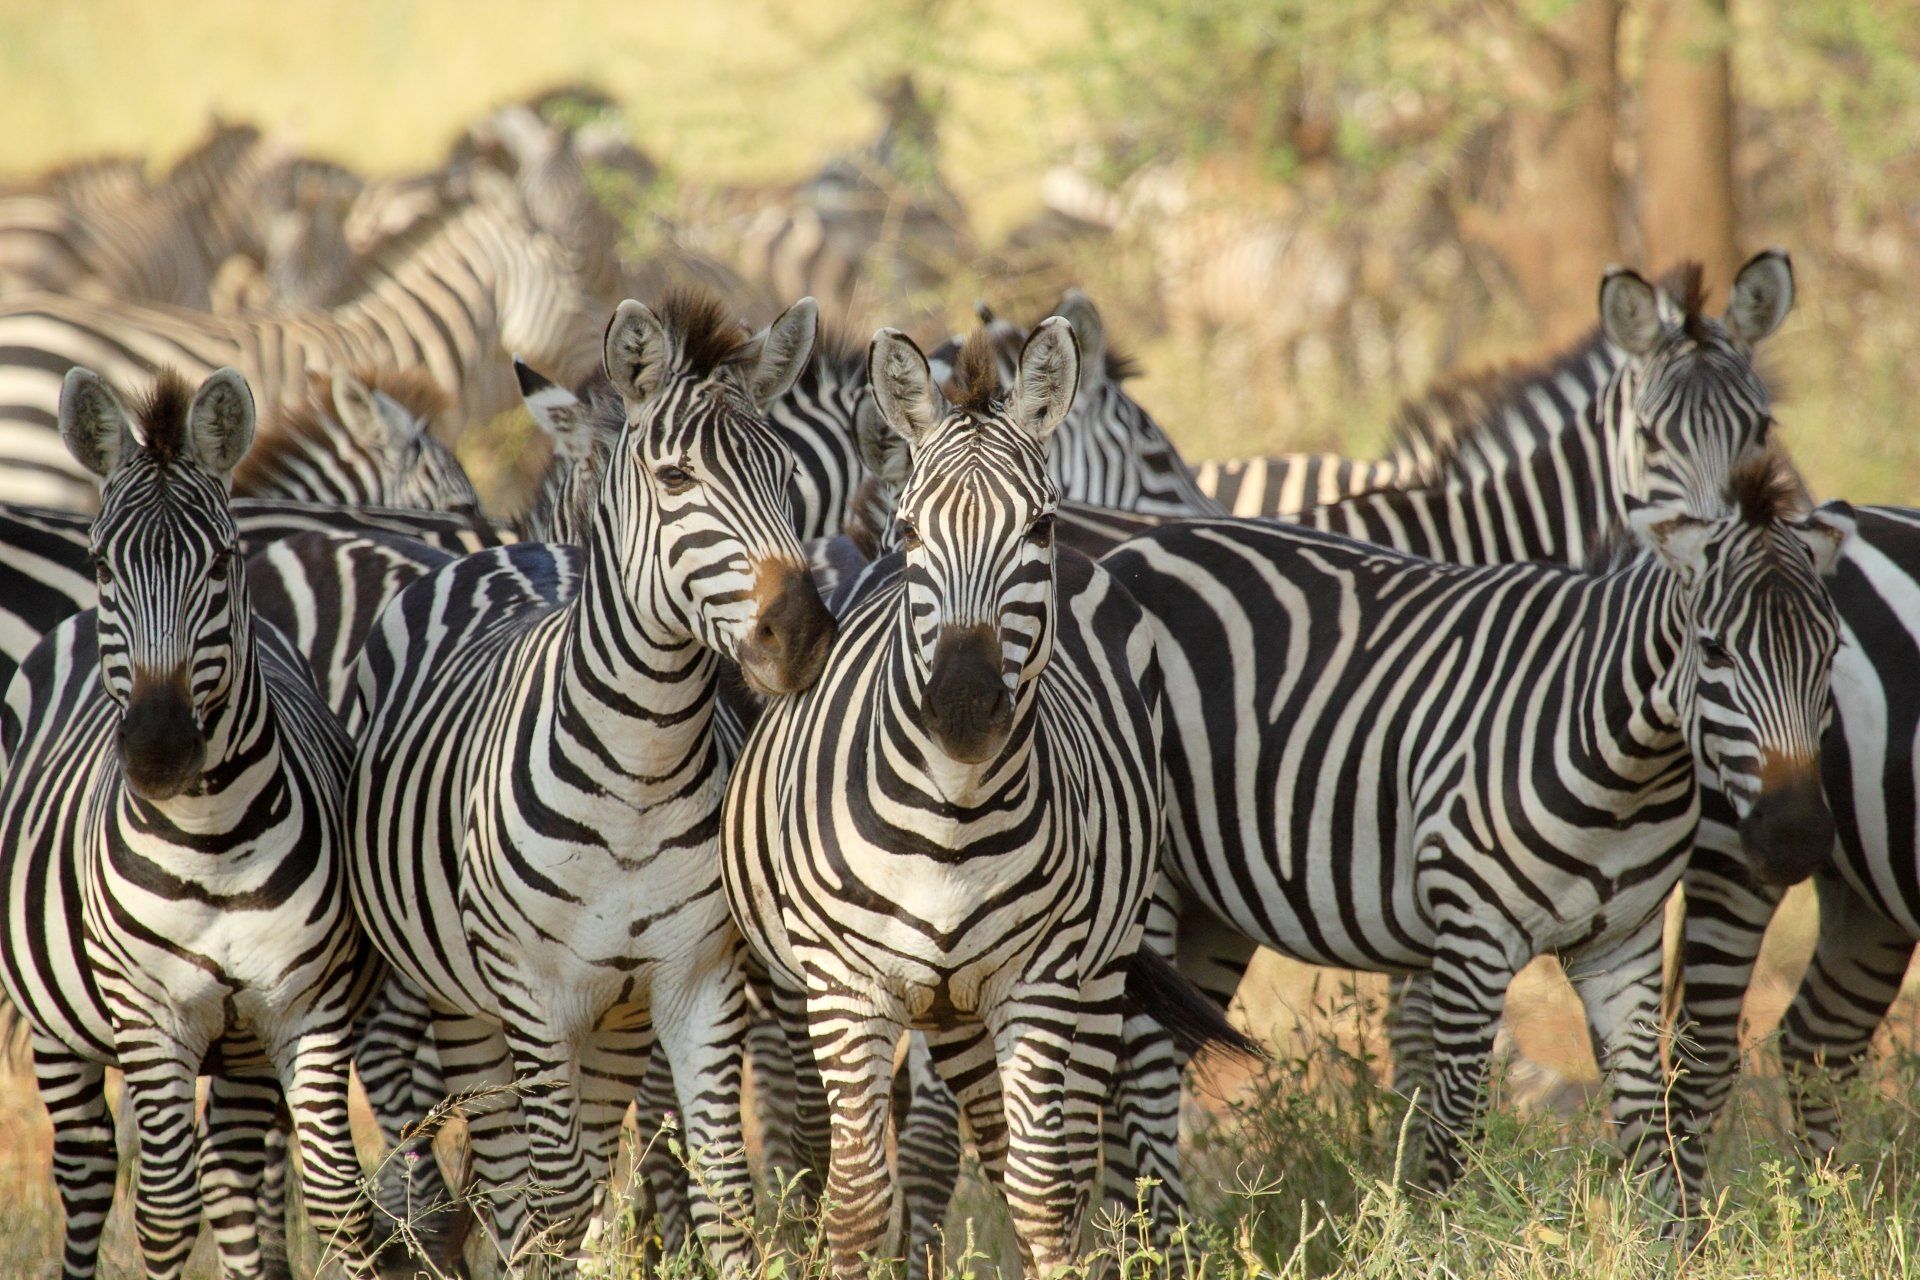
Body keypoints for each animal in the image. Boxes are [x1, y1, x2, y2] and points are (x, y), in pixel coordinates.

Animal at [0, 366, 434, 1279]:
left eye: (223, 561)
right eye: (101, 562)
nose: (160, 748)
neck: (215, 844)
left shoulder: (303, 1008)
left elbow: (337, 1199)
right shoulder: (152, 1021)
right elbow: (166, 1213)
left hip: (239, 1053)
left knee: (234, 1181)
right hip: (61, 1027)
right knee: (89, 1171)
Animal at [346, 292, 835, 1271]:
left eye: (786, 479)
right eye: (676, 479)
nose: (800, 637)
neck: (639, 776)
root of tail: (512, 553)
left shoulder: (695, 982)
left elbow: (723, 1193)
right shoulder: (534, 996)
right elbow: (554, 1200)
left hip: (615, 1019)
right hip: (463, 1001)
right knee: (509, 1188)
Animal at [718, 319, 1172, 1277]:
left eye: (1039, 526)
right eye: (913, 530)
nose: (963, 705)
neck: (952, 817)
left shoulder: (1041, 978)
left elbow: (1045, 1194)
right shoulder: (843, 986)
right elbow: (858, 1199)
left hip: (1097, 969)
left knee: (1056, 1153)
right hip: (938, 1009)